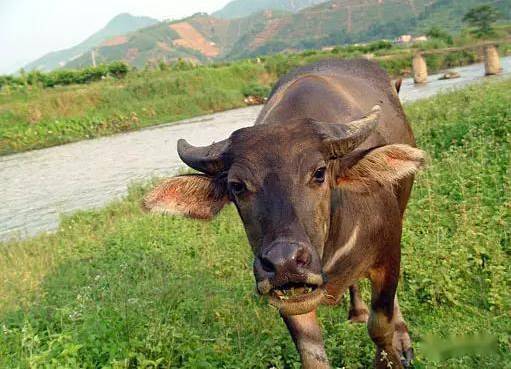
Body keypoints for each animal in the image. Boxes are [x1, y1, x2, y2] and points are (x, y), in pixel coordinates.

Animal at [143, 59, 424, 366]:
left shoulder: (388, 255)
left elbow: (380, 327)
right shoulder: (289, 297)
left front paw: (395, 350)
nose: (284, 263)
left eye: (319, 173)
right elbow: (311, 354)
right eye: (237, 186)